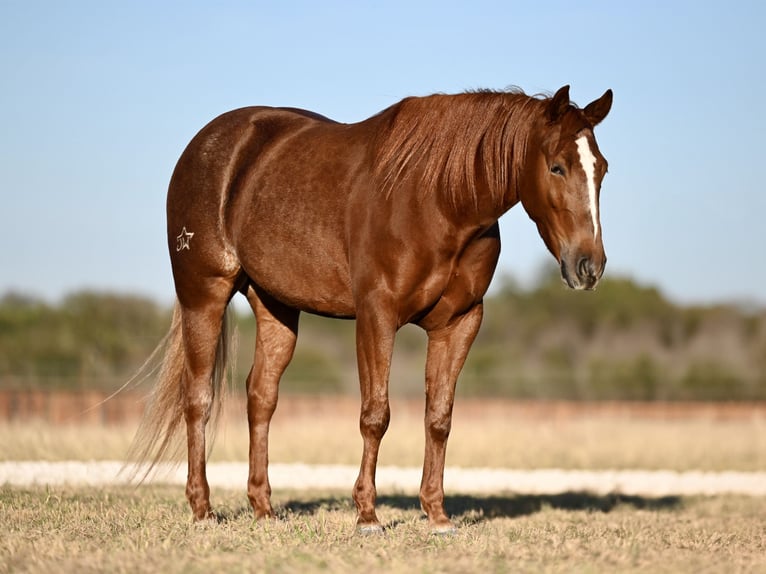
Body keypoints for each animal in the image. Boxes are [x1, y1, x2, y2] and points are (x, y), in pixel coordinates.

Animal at [129, 84, 616, 536]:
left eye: (602, 169)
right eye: (556, 166)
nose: (588, 266)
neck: (439, 199)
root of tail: (205, 144)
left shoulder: (460, 323)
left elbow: (439, 418)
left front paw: (437, 514)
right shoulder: (376, 314)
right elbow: (375, 414)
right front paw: (367, 515)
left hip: (275, 306)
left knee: (261, 397)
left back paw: (264, 509)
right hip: (204, 294)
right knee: (198, 398)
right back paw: (203, 509)